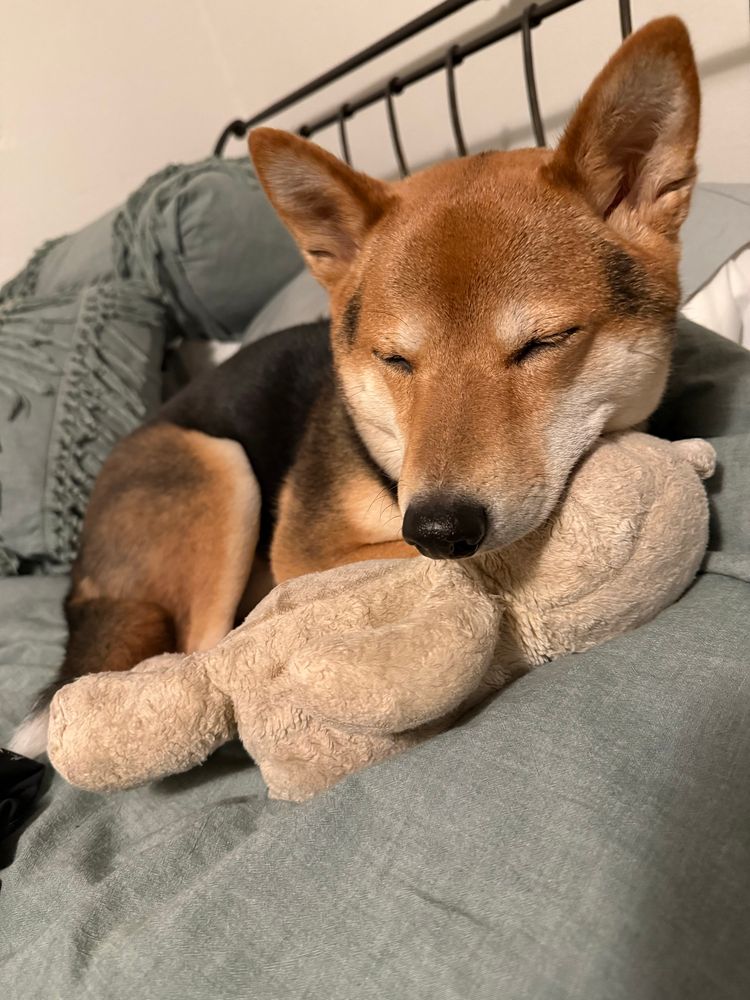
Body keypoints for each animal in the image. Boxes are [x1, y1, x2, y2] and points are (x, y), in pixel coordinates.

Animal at [12, 17, 699, 758]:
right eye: (396, 359)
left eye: (543, 343)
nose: (438, 528)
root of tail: (80, 579)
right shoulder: (310, 550)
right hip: (217, 469)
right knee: (203, 644)